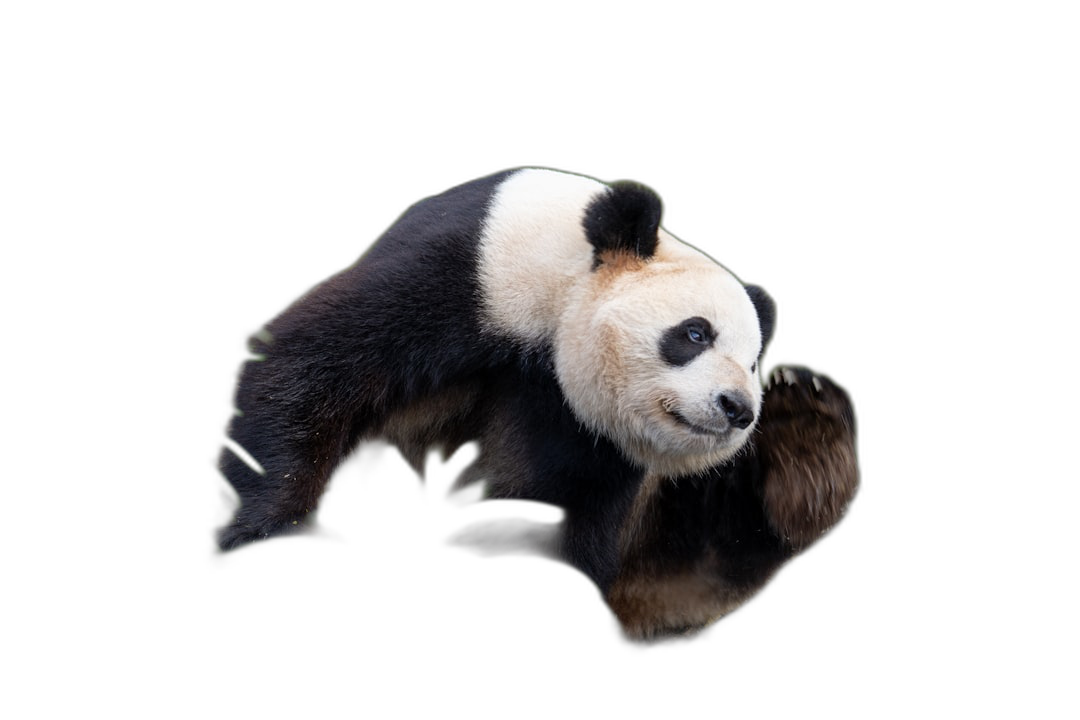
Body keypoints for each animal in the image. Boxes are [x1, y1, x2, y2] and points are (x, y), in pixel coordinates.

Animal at [217, 167, 859, 643]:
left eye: (751, 363)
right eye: (696, 333)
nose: (737, 408)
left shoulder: (584, 429)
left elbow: (556, 515)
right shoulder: (470, 275)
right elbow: (314, 363)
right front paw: (264, 529)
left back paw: (806, 426)